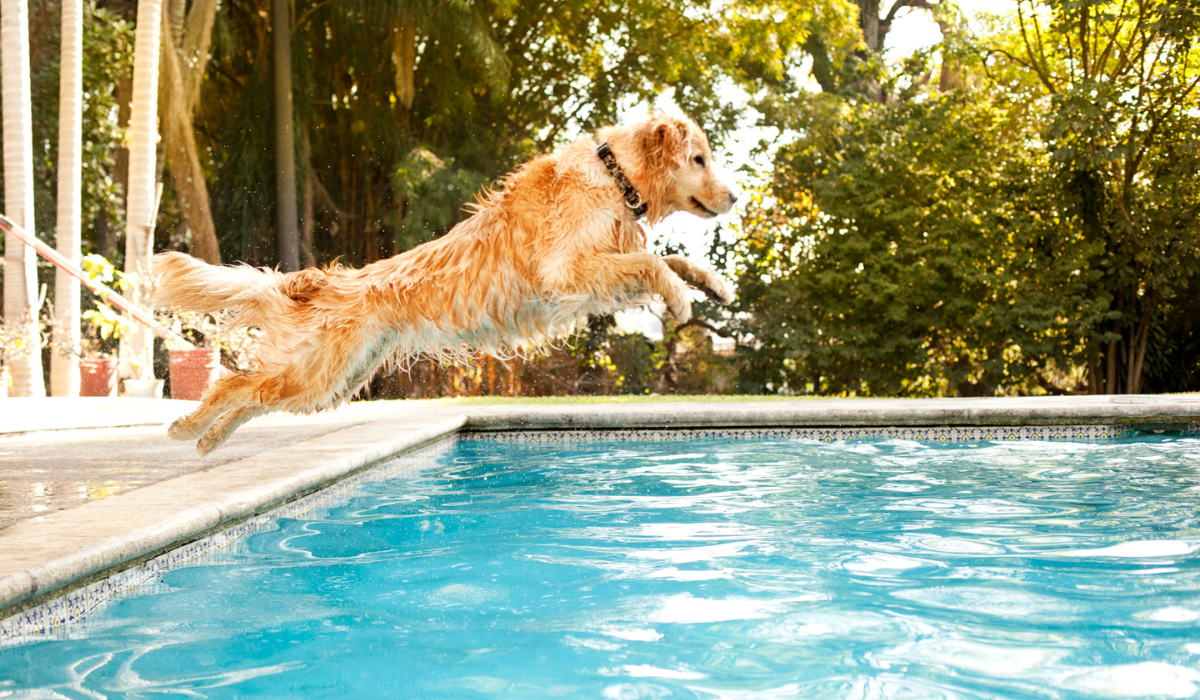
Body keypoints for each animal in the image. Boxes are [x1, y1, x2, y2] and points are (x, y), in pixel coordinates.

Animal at [154, 112, 734, 456]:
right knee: (230, 385)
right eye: (699, 159)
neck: (616, 178)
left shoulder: (601, 270)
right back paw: (187, 429)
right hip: (315, 373)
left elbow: (669, 257)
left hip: (329, 382)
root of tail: (322, 282)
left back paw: (208, 440)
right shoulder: (565, 272)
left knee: (252, 396)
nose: (733, 197)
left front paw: (714, 285)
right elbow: (654, 263)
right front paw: (681, 299)